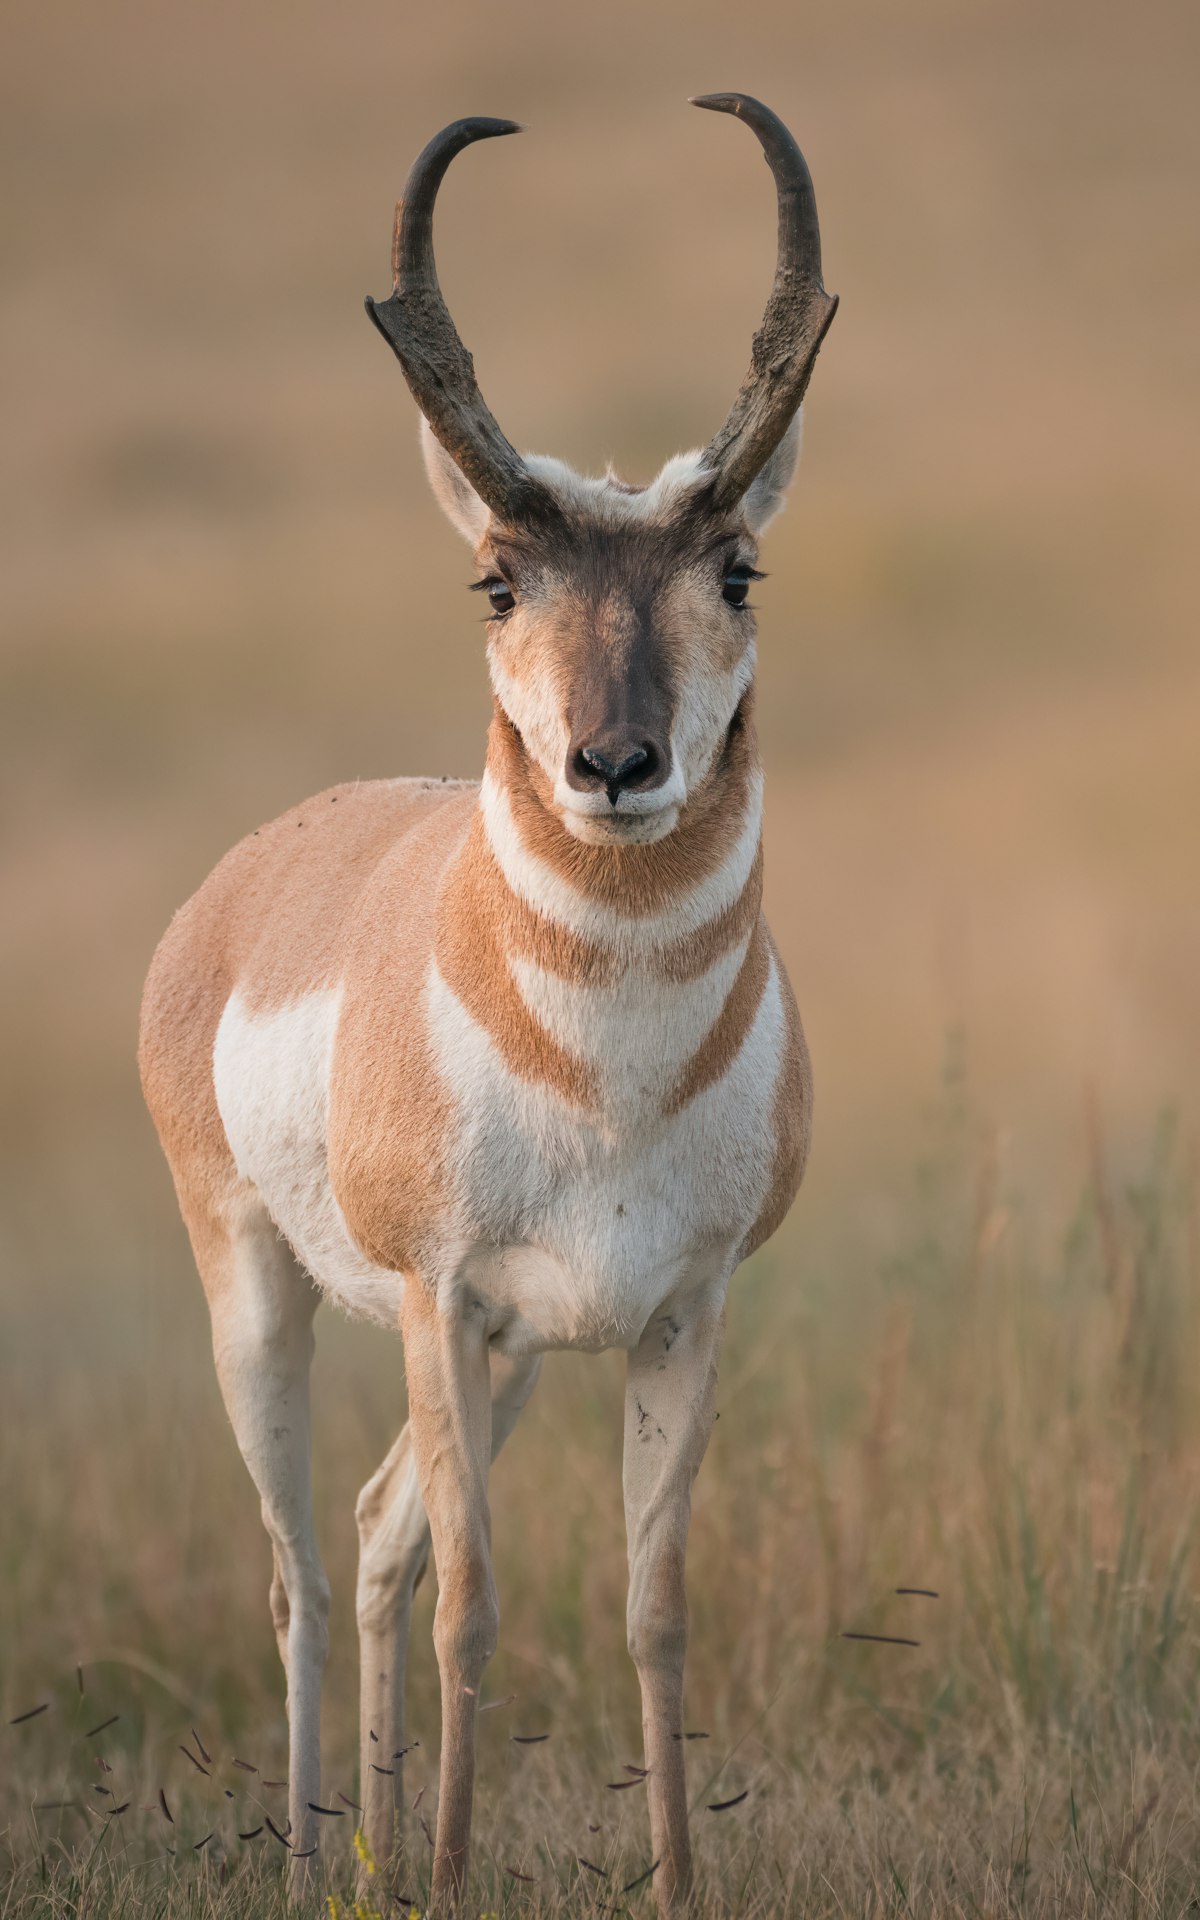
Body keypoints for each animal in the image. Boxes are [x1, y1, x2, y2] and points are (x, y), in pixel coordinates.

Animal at [138, 92, 837, 1910]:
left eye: (738, 570)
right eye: (500, 582)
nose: (616, 763)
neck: (607, 1071)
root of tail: (253, 875)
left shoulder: (679, 1315)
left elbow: (653, 1612)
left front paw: (675, 1882)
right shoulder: (444, 1303)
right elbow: (474, 1609)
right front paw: (456, 1874)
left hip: (507, 1363)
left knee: (376, 1537)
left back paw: (378, 1861)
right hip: (271, 1302)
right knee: (309, 1572)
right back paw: (331, 1865)